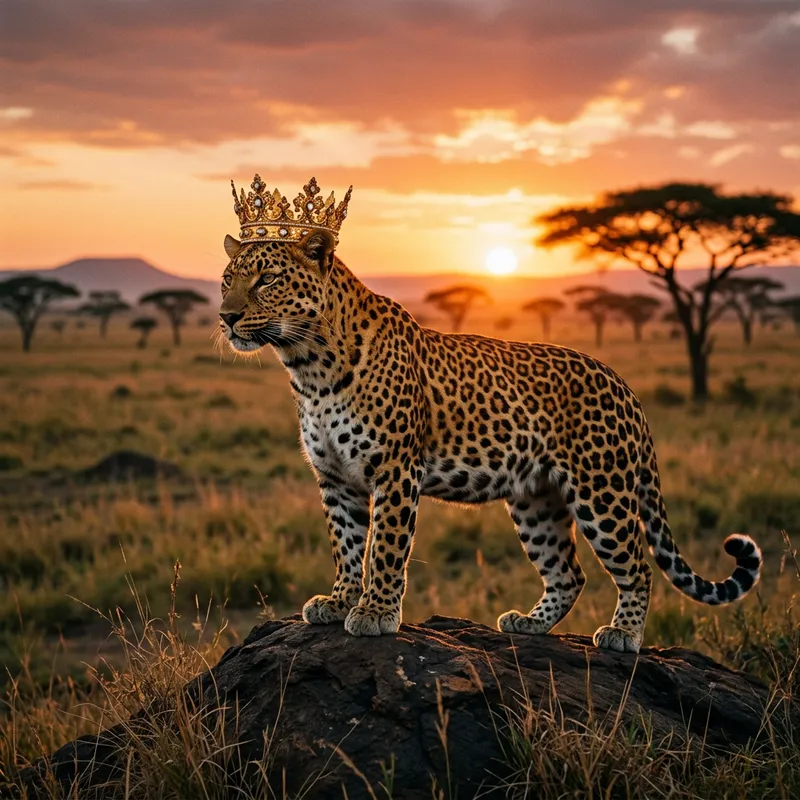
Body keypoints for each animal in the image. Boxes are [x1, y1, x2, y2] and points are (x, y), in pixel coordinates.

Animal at [218, 228, 762, 653]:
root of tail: (626, 387)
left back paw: (622, 634)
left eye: (267, 279)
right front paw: (338, 600)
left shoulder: (395, 471)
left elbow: (385, 546)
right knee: (569, 574)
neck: (310, 367)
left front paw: (375, 612)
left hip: (602, 492)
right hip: (536, 501)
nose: (225, 316)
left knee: (637, 566)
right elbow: (348, 544)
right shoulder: (335, 478)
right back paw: (529, 624)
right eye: (227, 280)